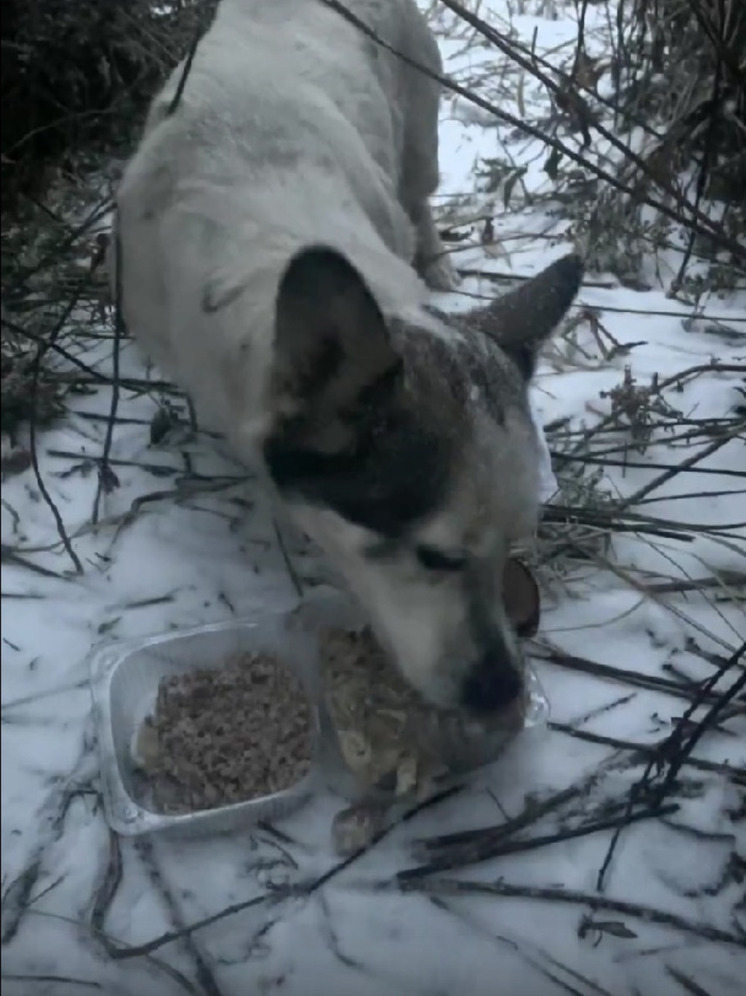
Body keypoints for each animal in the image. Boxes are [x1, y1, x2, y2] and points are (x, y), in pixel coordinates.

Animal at [115, 0, 580, 716]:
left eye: (513, 548)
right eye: (438, 559)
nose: (504, 690)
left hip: (419, 124)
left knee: (421, 195)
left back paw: (438, 259)